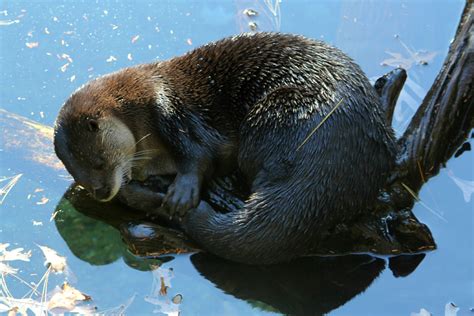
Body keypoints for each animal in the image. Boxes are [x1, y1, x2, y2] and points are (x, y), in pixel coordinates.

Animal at [54, 32, 396, 264]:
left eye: (99, 161)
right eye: (81, 176)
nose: (101, 191)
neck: (136, 103)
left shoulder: (169, 108)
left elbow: (198, 153)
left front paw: (182, 193)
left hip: (279, 112)